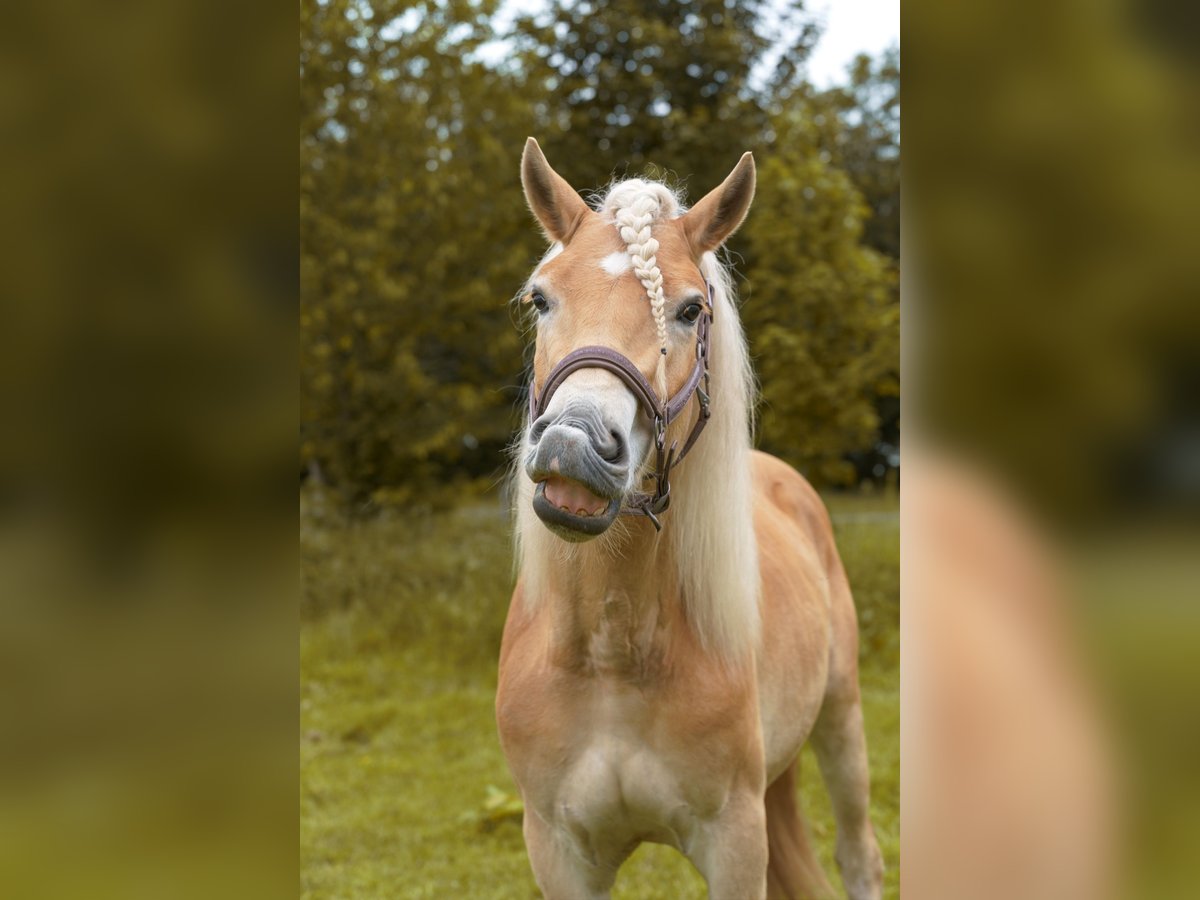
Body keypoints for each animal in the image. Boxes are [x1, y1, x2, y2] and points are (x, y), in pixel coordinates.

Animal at [494, 135, 883, 900]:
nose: (575, 446)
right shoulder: (558, 852)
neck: (610, 659)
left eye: (690, 310)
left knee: (860, 856)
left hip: (842, 721)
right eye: (541, 298)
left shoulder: (733, 843)